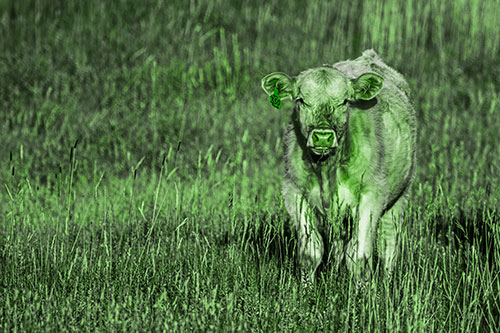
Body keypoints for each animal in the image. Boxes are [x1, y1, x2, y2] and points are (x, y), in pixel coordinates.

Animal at [260, 49, 416, 286]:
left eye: (344, 101)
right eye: (301, 100)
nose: (323, 136)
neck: (326, 170)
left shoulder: (371, 196)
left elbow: (359, 255)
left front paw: (361, 293)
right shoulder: (295, 193)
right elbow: (310, 252)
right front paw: (306, 290)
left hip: (400, 195)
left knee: (388, 243)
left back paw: (388, 281)